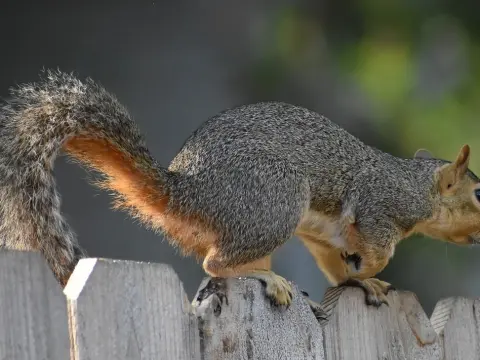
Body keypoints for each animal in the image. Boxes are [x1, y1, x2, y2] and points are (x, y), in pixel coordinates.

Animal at [0, 69, 480, 316]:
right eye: (479, 195)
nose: (478, 236)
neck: (420, 186)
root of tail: (190, 192)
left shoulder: (323, 236)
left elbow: (333, 264)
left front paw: (361, 279)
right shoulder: (381, 205)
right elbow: (380, 245)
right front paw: (370, 266)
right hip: (277, 198)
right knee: (216, 264)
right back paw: (267, 278)